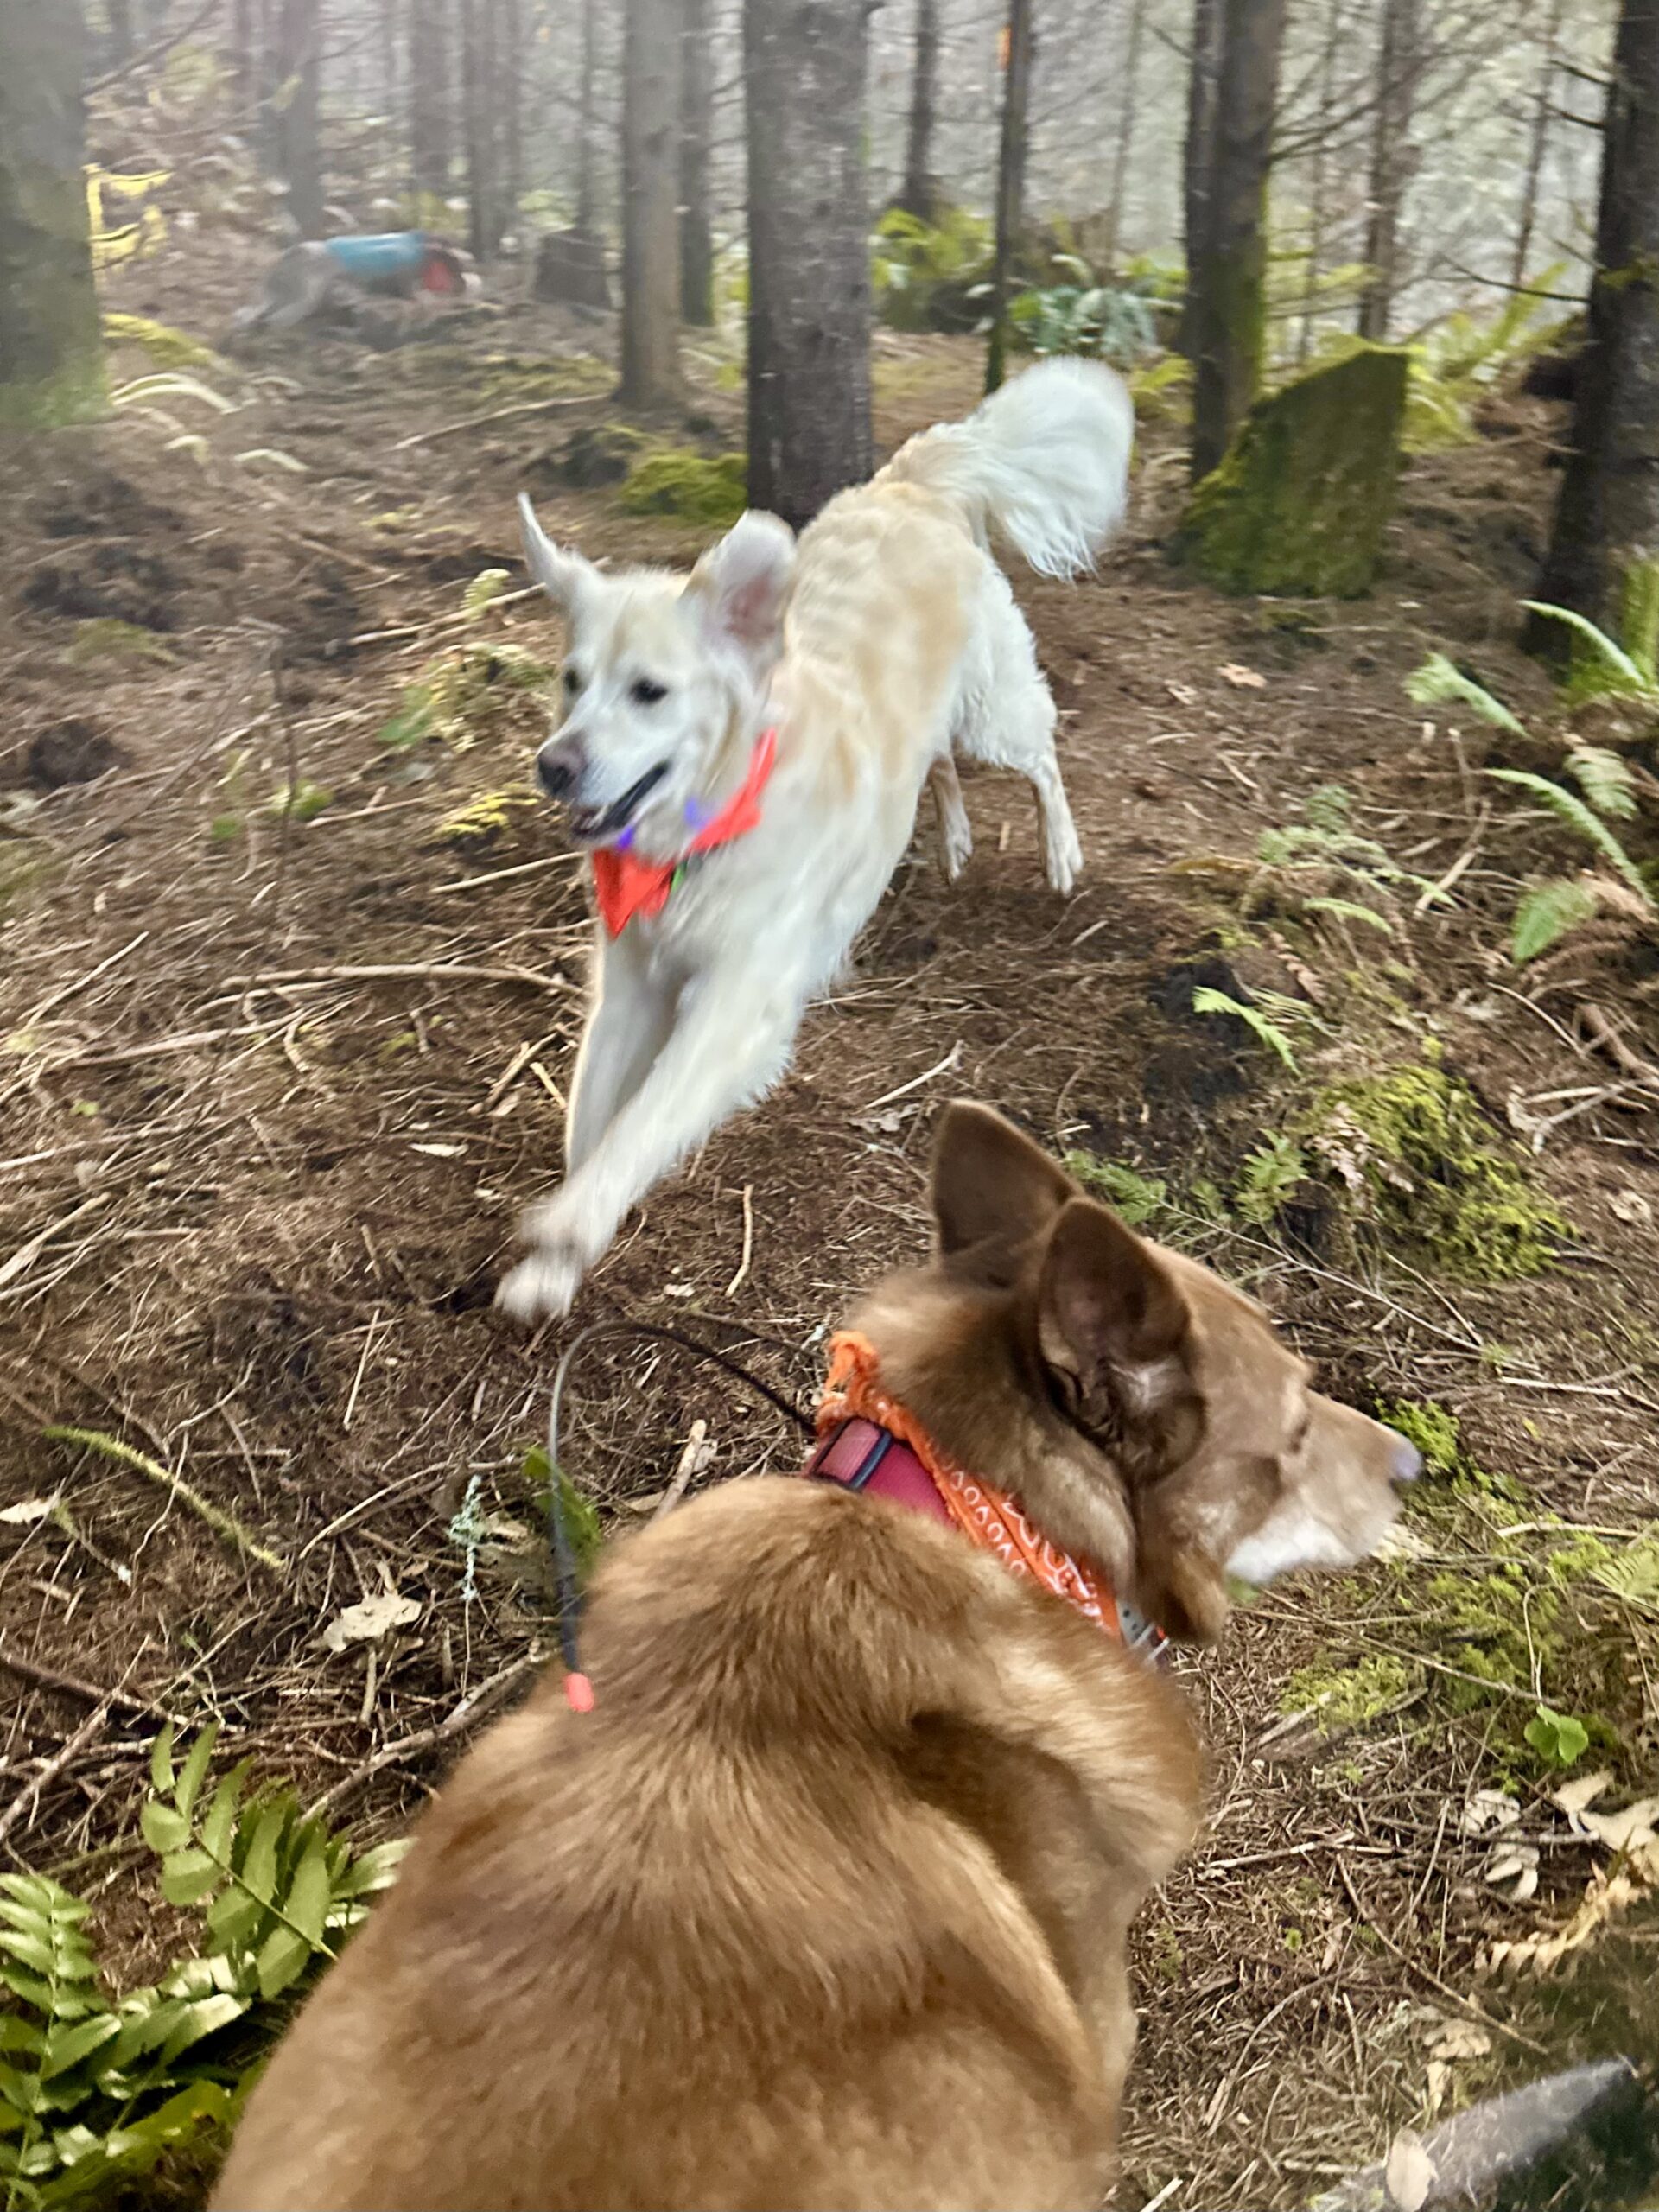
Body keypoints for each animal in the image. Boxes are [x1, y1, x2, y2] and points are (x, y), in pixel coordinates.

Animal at [499, 356, 1141, 1318]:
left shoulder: (739, 1002)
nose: (556, 766)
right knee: (937, 770)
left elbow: (643, 1122)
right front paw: (556, 1262)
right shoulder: (632, 980)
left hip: (990, 710)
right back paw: (952, 841)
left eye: (649, 691)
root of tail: (908, 483)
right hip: (937, 726)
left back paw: (1060, 849)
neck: (708, 827)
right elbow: (592, 1116)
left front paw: (572, 1223)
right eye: (570, 681)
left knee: (1041, 759)